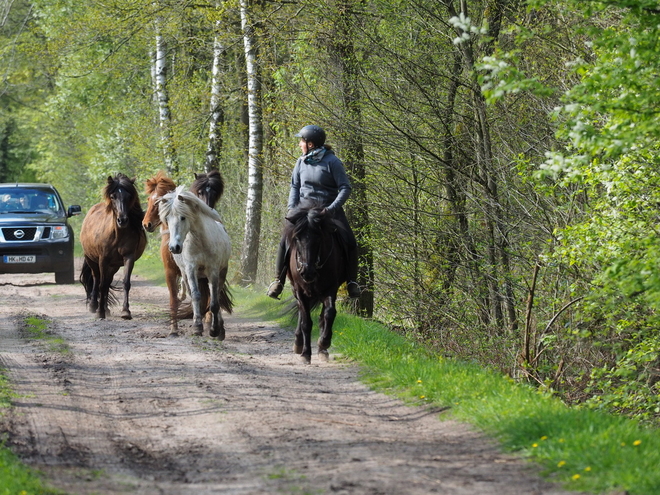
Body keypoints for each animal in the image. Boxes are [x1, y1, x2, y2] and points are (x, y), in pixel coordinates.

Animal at [80, 174, 147, 322]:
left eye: (129, 196)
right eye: (113, 196)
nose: (122, 220)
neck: (117, 235)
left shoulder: (128, 257)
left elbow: (126, 283)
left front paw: (125, 311)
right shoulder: (103, 260)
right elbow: (102, 284)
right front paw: (99, 312)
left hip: (114, 265)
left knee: (107, 280)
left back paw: (106, 308)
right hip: (92, 260)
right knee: (97, 279)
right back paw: (94, 306)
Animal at [142, 170, 229, 338]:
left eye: (183, 217)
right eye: (149, 199)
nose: (146, 224)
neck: (200, 241)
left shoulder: (213, 270)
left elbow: (214, 302)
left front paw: (215, 329)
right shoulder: (186, 269)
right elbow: (187, 297)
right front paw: (189, 328)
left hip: (220, 272)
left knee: (215, 294)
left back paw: (217, 328)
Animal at [284, 201, 346, 364]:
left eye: (318, 237)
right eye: (297, 238)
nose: (307, 272)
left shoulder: (331, 288)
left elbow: (329, 314)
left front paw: (324, 342)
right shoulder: (300, 290)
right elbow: (306, 322)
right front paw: (306, 354)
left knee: (322, 315)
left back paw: (322, 350)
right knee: (301, 312)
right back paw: (298, 343)